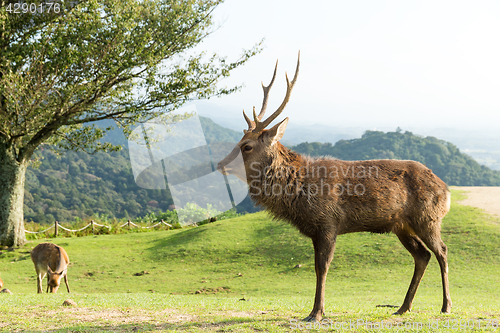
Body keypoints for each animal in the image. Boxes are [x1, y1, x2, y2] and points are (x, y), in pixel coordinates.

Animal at [217, 52, 452, 322]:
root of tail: (446, 190)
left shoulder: (329, 221)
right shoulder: (315, 229)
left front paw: (317, 313)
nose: (220, 164)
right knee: (422, 255)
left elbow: (323, 267)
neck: (300, 193)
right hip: (401, 225)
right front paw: (313, 311)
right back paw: (403, 307)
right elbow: (316, 267)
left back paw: (446, 306)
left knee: (442, 251)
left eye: (246, 146)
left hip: (428, 217)